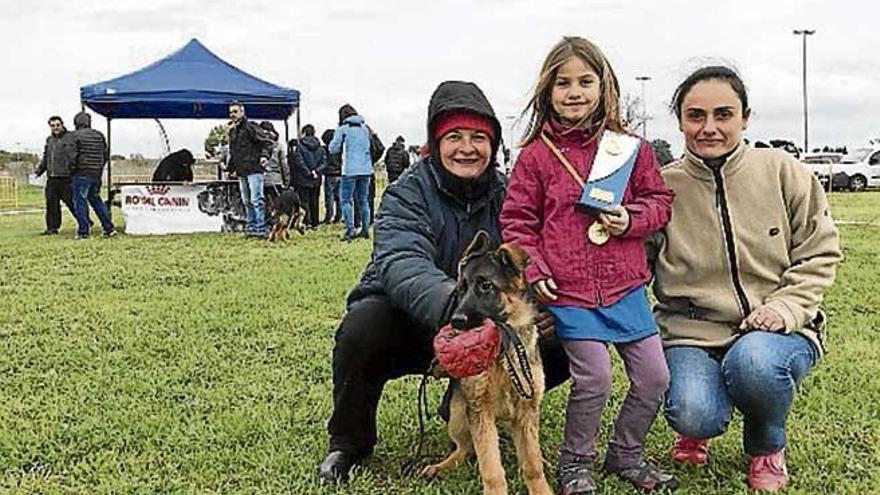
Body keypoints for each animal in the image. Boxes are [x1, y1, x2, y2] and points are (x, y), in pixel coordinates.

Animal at [422, 232, 552, 495]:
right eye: (461, 289)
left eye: (486, 286)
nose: (456, 321)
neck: (503, 350)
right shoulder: (480, 411)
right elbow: (490, 466)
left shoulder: (527, 408)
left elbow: (532, 464)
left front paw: (541, 488)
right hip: (458, 413)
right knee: (464, 448)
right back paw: (441, 466)